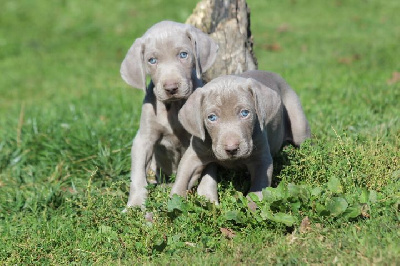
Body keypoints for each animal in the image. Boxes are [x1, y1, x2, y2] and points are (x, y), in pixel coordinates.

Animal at [121, 21, 219, 208]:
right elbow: (137, 175)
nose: (171, 88)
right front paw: (135, 205)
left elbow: (209, 171)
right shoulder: (144, 138)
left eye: (183, 55)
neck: (173, 107)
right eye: (152, 60)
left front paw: (208, 198)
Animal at [170, 69, 310, 201]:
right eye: (212, 117)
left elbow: (257, 190)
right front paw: (174, 202)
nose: (232, 149)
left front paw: (251, 207)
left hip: (298, 125)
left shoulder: (261, 160)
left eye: (245, 113)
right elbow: (182, 178)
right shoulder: (194, 154)